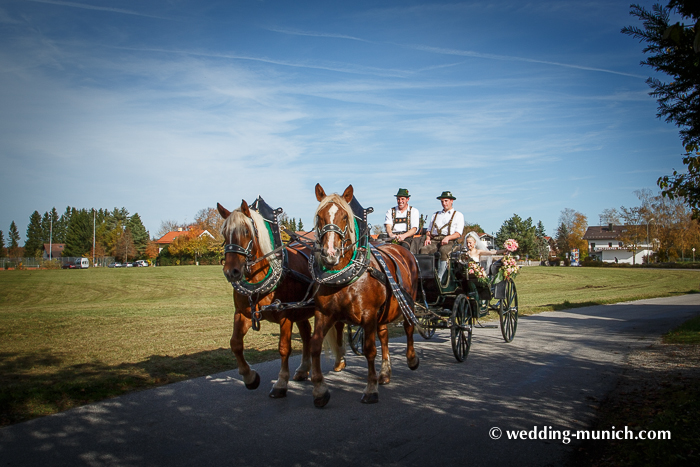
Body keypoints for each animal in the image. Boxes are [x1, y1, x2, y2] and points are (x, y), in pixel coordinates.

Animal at [215, 200, 344, 398]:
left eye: (246, 231)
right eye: (224, 233)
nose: (231, 272)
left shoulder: (285, 315)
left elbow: (284, 348)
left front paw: (281, 382)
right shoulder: (243, 313)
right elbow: (235, 343)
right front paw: (249, 377)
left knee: (338, 328)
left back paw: (339, 361)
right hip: (300, 309)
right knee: (306, 334)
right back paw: (303, 369)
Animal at [308, 185, 418, 408]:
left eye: (344, 216)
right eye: (320, 217)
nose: (330, 254)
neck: (343, 276)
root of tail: (399, 246)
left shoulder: (368, 315)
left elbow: (369, 350)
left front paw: (370, 389)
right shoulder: (323, 313)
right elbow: (315, 345)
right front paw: (319, 390)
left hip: (407, 301)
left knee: (409, 327)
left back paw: (411, 359)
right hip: (385, 311)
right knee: (384, 336)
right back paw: (385, 372)